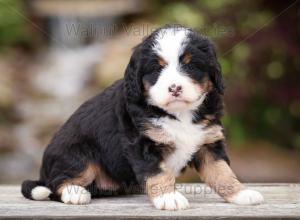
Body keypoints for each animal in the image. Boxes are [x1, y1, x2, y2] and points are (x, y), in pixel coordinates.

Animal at [21, 25, 262, 210]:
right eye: (157, 69)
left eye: (190, 65)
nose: (175, 88)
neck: (179, 113)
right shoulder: (142, 144)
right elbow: (158, 173)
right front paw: (169, 197)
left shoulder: (208, 142)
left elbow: (222, 171)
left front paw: (241, 193)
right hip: (78, 155)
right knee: (56, 183)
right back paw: (75, 193)